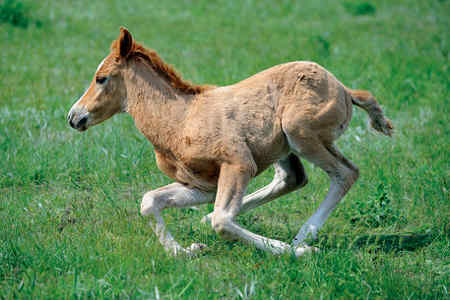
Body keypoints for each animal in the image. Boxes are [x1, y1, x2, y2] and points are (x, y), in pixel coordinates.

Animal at [67, 28, 394, 256]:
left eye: (101, 78)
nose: (74, 116)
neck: (181, 117)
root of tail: (344, 89)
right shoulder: (201, 185)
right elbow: (150, 202)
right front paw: (187, 251)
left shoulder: (238, 164)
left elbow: (223, 222)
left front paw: (298, 251)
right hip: (282, 146)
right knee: (292, 178)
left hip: (300, 133)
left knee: (345, 173)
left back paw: (304, 236)